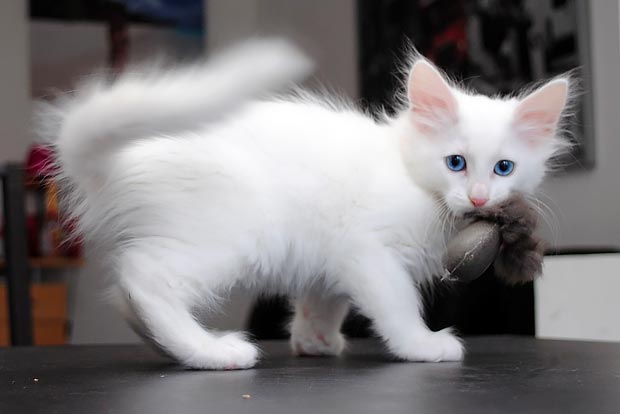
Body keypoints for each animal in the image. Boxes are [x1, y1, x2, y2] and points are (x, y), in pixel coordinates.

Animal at [44, 38, 572, 368]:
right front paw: (421, 344)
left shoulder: (333, 254)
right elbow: (397, 304)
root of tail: (129, 156)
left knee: (128, 294)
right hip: (231, 235)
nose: (479, 196)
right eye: (456, 162)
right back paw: (210, 352)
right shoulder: (369, 250)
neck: (413, 181)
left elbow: (324, 299)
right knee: (145, 279)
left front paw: (314, 340)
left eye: (503, 168)